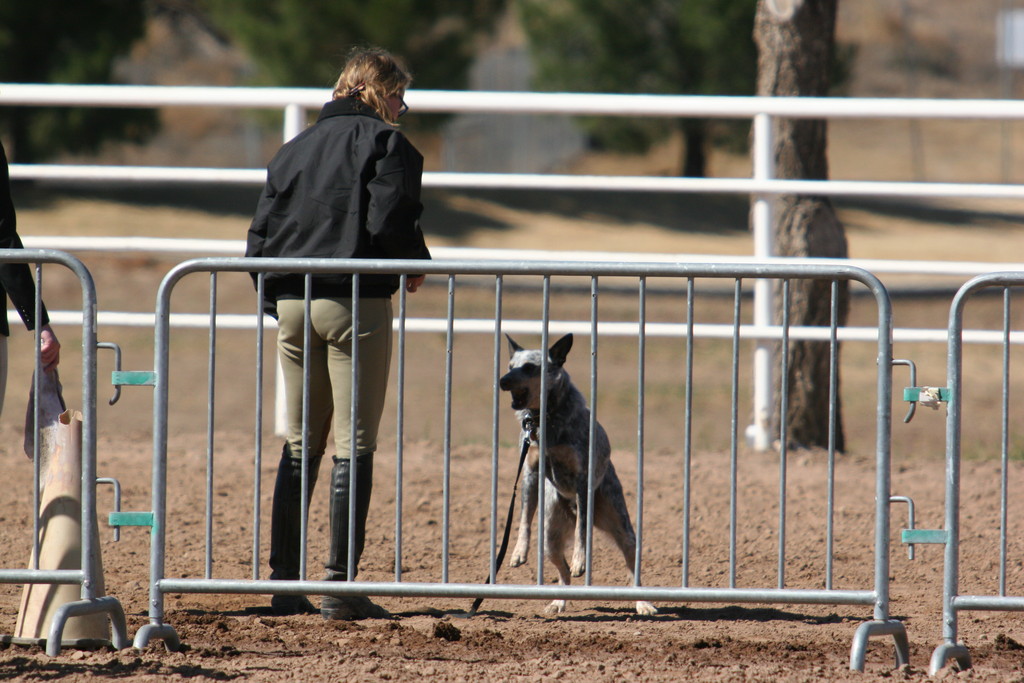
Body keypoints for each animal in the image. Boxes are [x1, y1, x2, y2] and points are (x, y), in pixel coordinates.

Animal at [497, 333, 655, 618]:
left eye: (529, 367)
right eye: (510, 365)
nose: (503, 381)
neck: (545, 420)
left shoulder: (582, 477)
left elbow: (582, 531)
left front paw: (580, 560)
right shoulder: (530, 473)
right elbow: (524, 519)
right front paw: (517, 553)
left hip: (623, 528)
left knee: (631, 570)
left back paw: (643, 604)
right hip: (550, 538)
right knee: (563, 573)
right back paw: (558, 601)